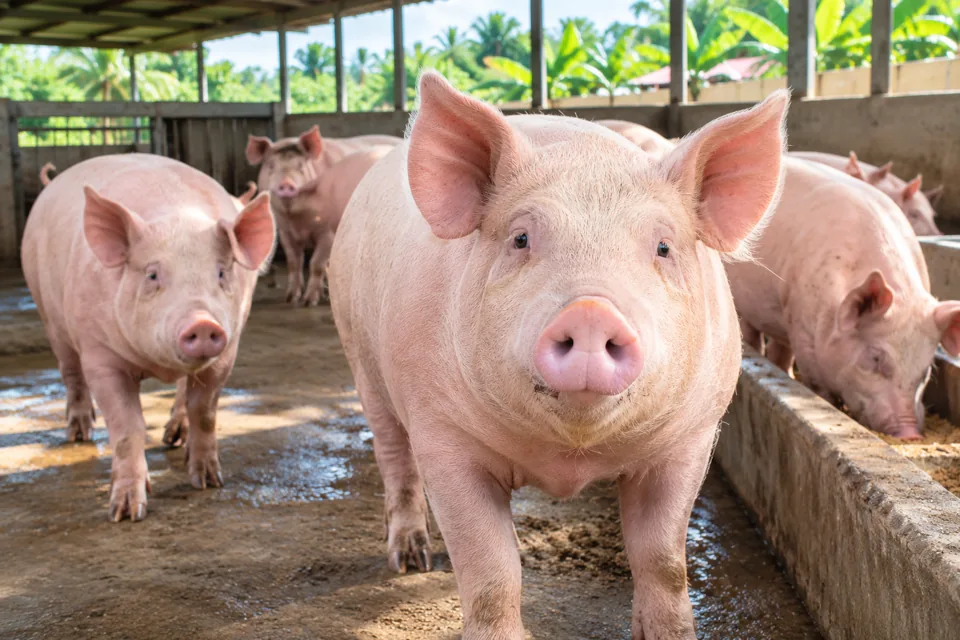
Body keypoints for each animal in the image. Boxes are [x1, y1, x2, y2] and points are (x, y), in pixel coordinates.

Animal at [21, 153, 275, 521]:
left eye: (221, 273)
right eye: (153, 275)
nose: (202, 322)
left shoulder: (227, 352)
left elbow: (205, 411)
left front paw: (209, 482)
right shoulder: (100, 355)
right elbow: (127, 427)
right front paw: (126, 513)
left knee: (183, 390)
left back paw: (175, 439)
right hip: (49, 316)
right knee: (70, 373)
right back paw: (79, 435)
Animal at [246, 126, 401, 305]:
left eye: (301, 166)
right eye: (271, 165)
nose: (285, 184)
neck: (295, 218)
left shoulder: (328, 233)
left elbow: (316, 264)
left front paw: (309, 302)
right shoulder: (284, 231)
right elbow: (294, 262)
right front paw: (291, 299)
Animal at [328, 71, 788, 639]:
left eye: (663, 247)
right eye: (521, 238)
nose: (590, 311)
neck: (569, 458)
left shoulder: (691, 437)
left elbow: (663, 559)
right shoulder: (443, 433)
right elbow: (488, 571)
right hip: (359, 355)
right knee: (394, 456)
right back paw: (411, 561)